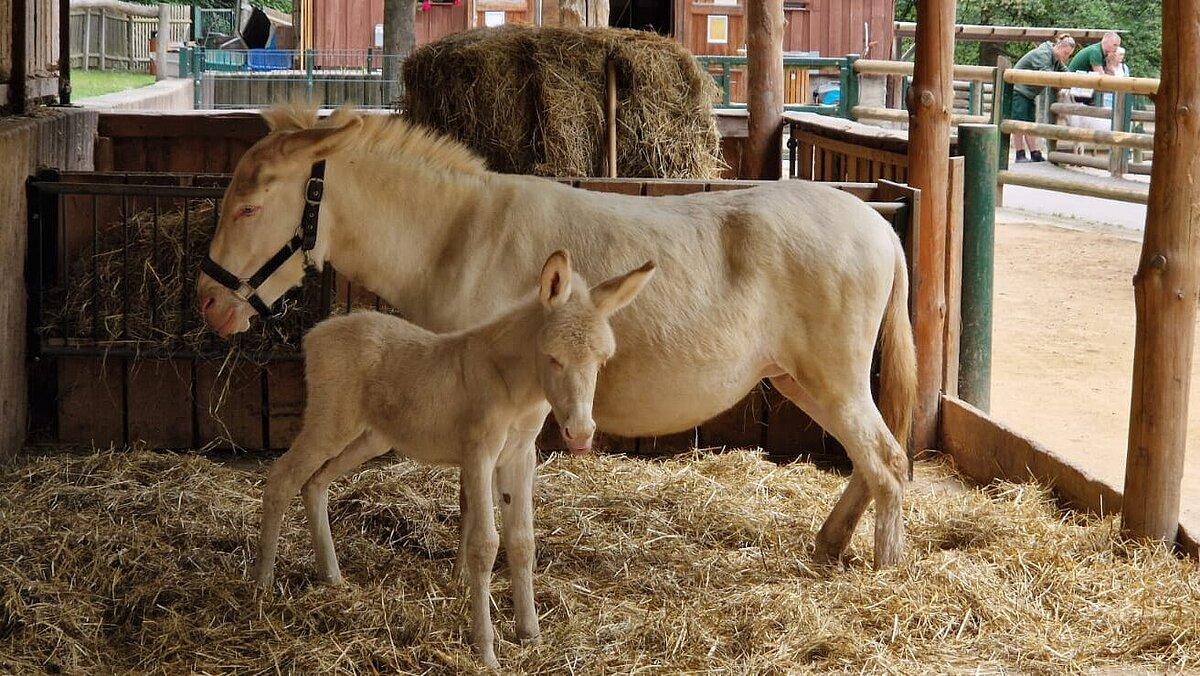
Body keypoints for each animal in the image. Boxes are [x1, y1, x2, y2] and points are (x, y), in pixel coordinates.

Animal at [252, 250, 657, 667]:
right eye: (553, 358)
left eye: (601, 361)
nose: (580, 434)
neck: (516, 388)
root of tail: (316, 333)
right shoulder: (479, 452)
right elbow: (485, 544)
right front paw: (486, 650)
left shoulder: (519, 456)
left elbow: (522, 541)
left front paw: (530, 633)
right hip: (330, 422)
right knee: (282, 477)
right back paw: (262, 584)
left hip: (370, 438)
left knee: (315, 483)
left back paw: (331, 576)